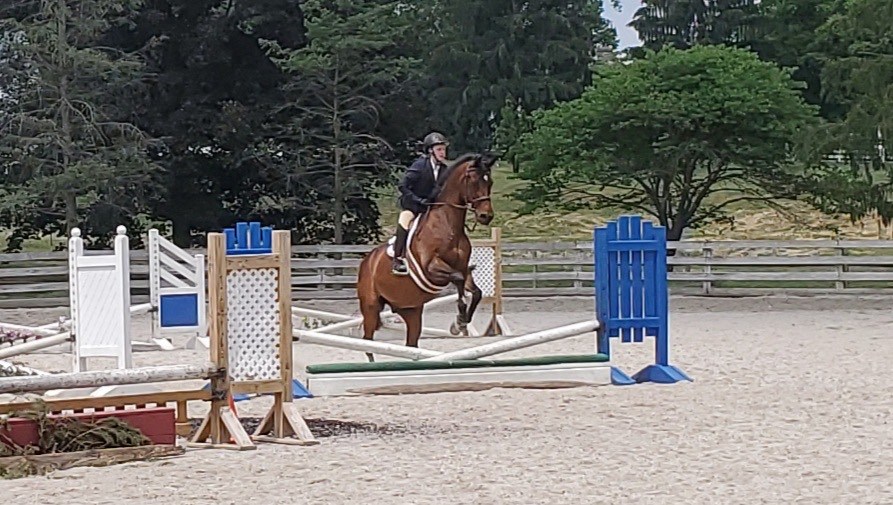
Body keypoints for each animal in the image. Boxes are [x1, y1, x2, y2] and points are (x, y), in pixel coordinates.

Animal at [354, 152, 494, 360]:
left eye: (490, 181)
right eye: (474, 180)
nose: (486, 216)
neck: (448, 225)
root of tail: (367, 261)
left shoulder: (463, 268)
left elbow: (475, 292)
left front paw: (460, 323)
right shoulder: (432, 269)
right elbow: (458, 280)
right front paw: (459, 319)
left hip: (410, 310)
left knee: (411, 343)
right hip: (371, 306)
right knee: (367, 342)